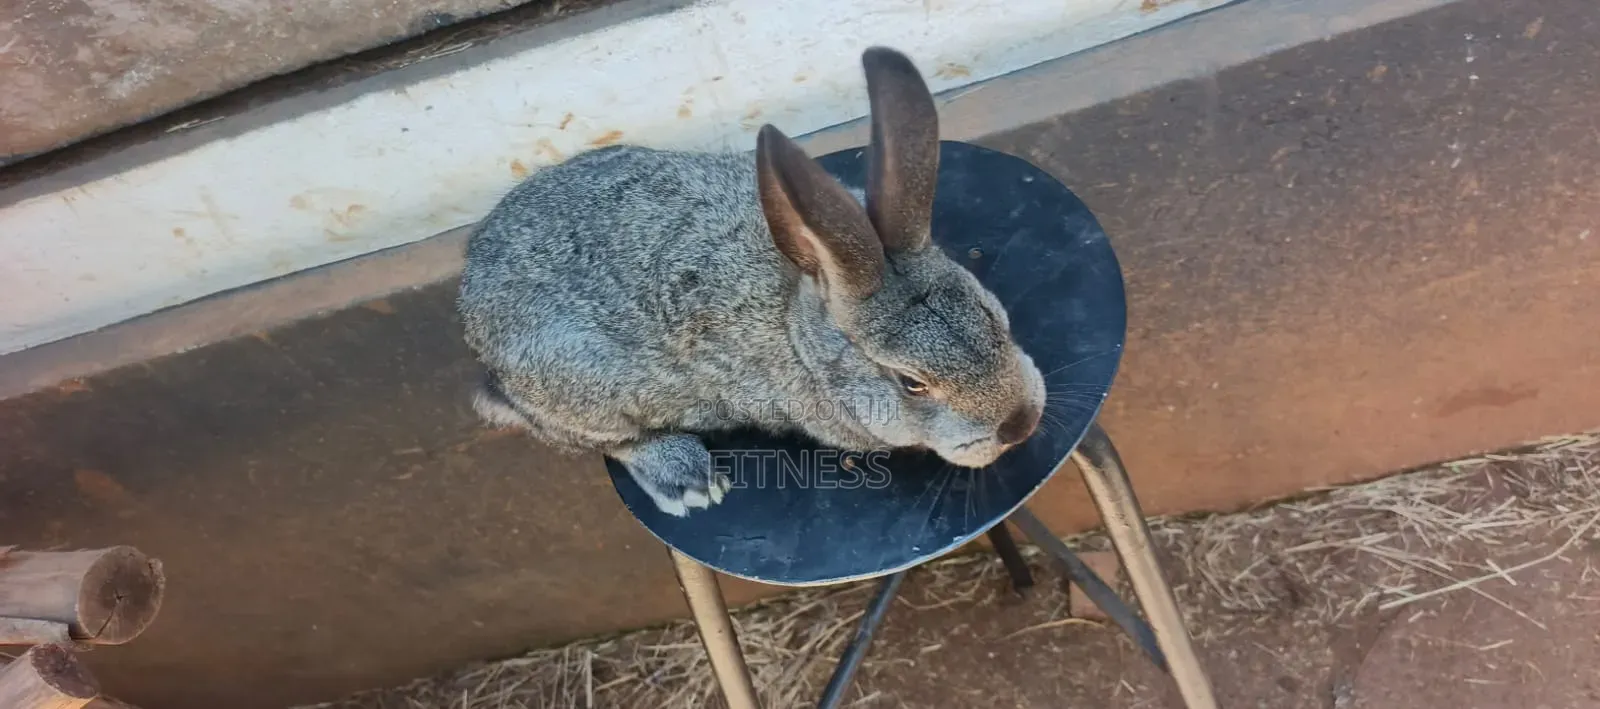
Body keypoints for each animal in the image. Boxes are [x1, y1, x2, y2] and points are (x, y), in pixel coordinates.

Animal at [457, 46, 1046, 517]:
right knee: (604, 440)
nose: (1018, 424)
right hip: (582, 387)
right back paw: (688, 479)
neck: (800, 321)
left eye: (993, 316)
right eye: (911, 383)